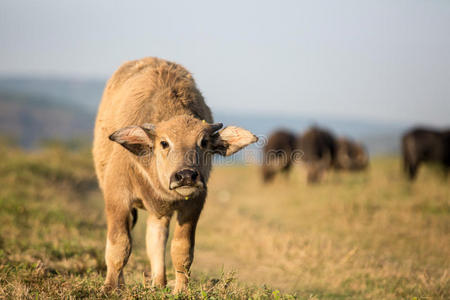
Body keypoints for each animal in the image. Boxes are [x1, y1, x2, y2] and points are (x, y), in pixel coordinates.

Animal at [92, 56, 256, 292]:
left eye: (203, 142)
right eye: (164, 143)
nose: (186, 175)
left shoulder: (194, 203)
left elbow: (182, 250)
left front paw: (181, 289)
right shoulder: (117, 196)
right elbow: (119, 244)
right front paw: (110, 288)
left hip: (161, 212)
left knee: (156, 235)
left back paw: (159, 282)